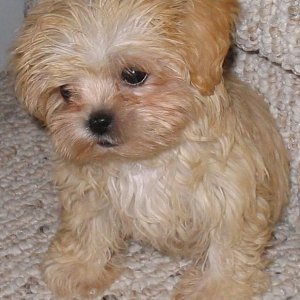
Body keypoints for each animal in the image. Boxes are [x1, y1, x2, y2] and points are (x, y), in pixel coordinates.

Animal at [10, 0, 290, 298]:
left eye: (134, 75)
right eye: (65, 92)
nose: (97, 121)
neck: (145, 159)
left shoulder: (230, 196)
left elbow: (226, 248)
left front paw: (218, 288)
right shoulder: (87, 191)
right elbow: (88, 228)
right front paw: (79, 268)